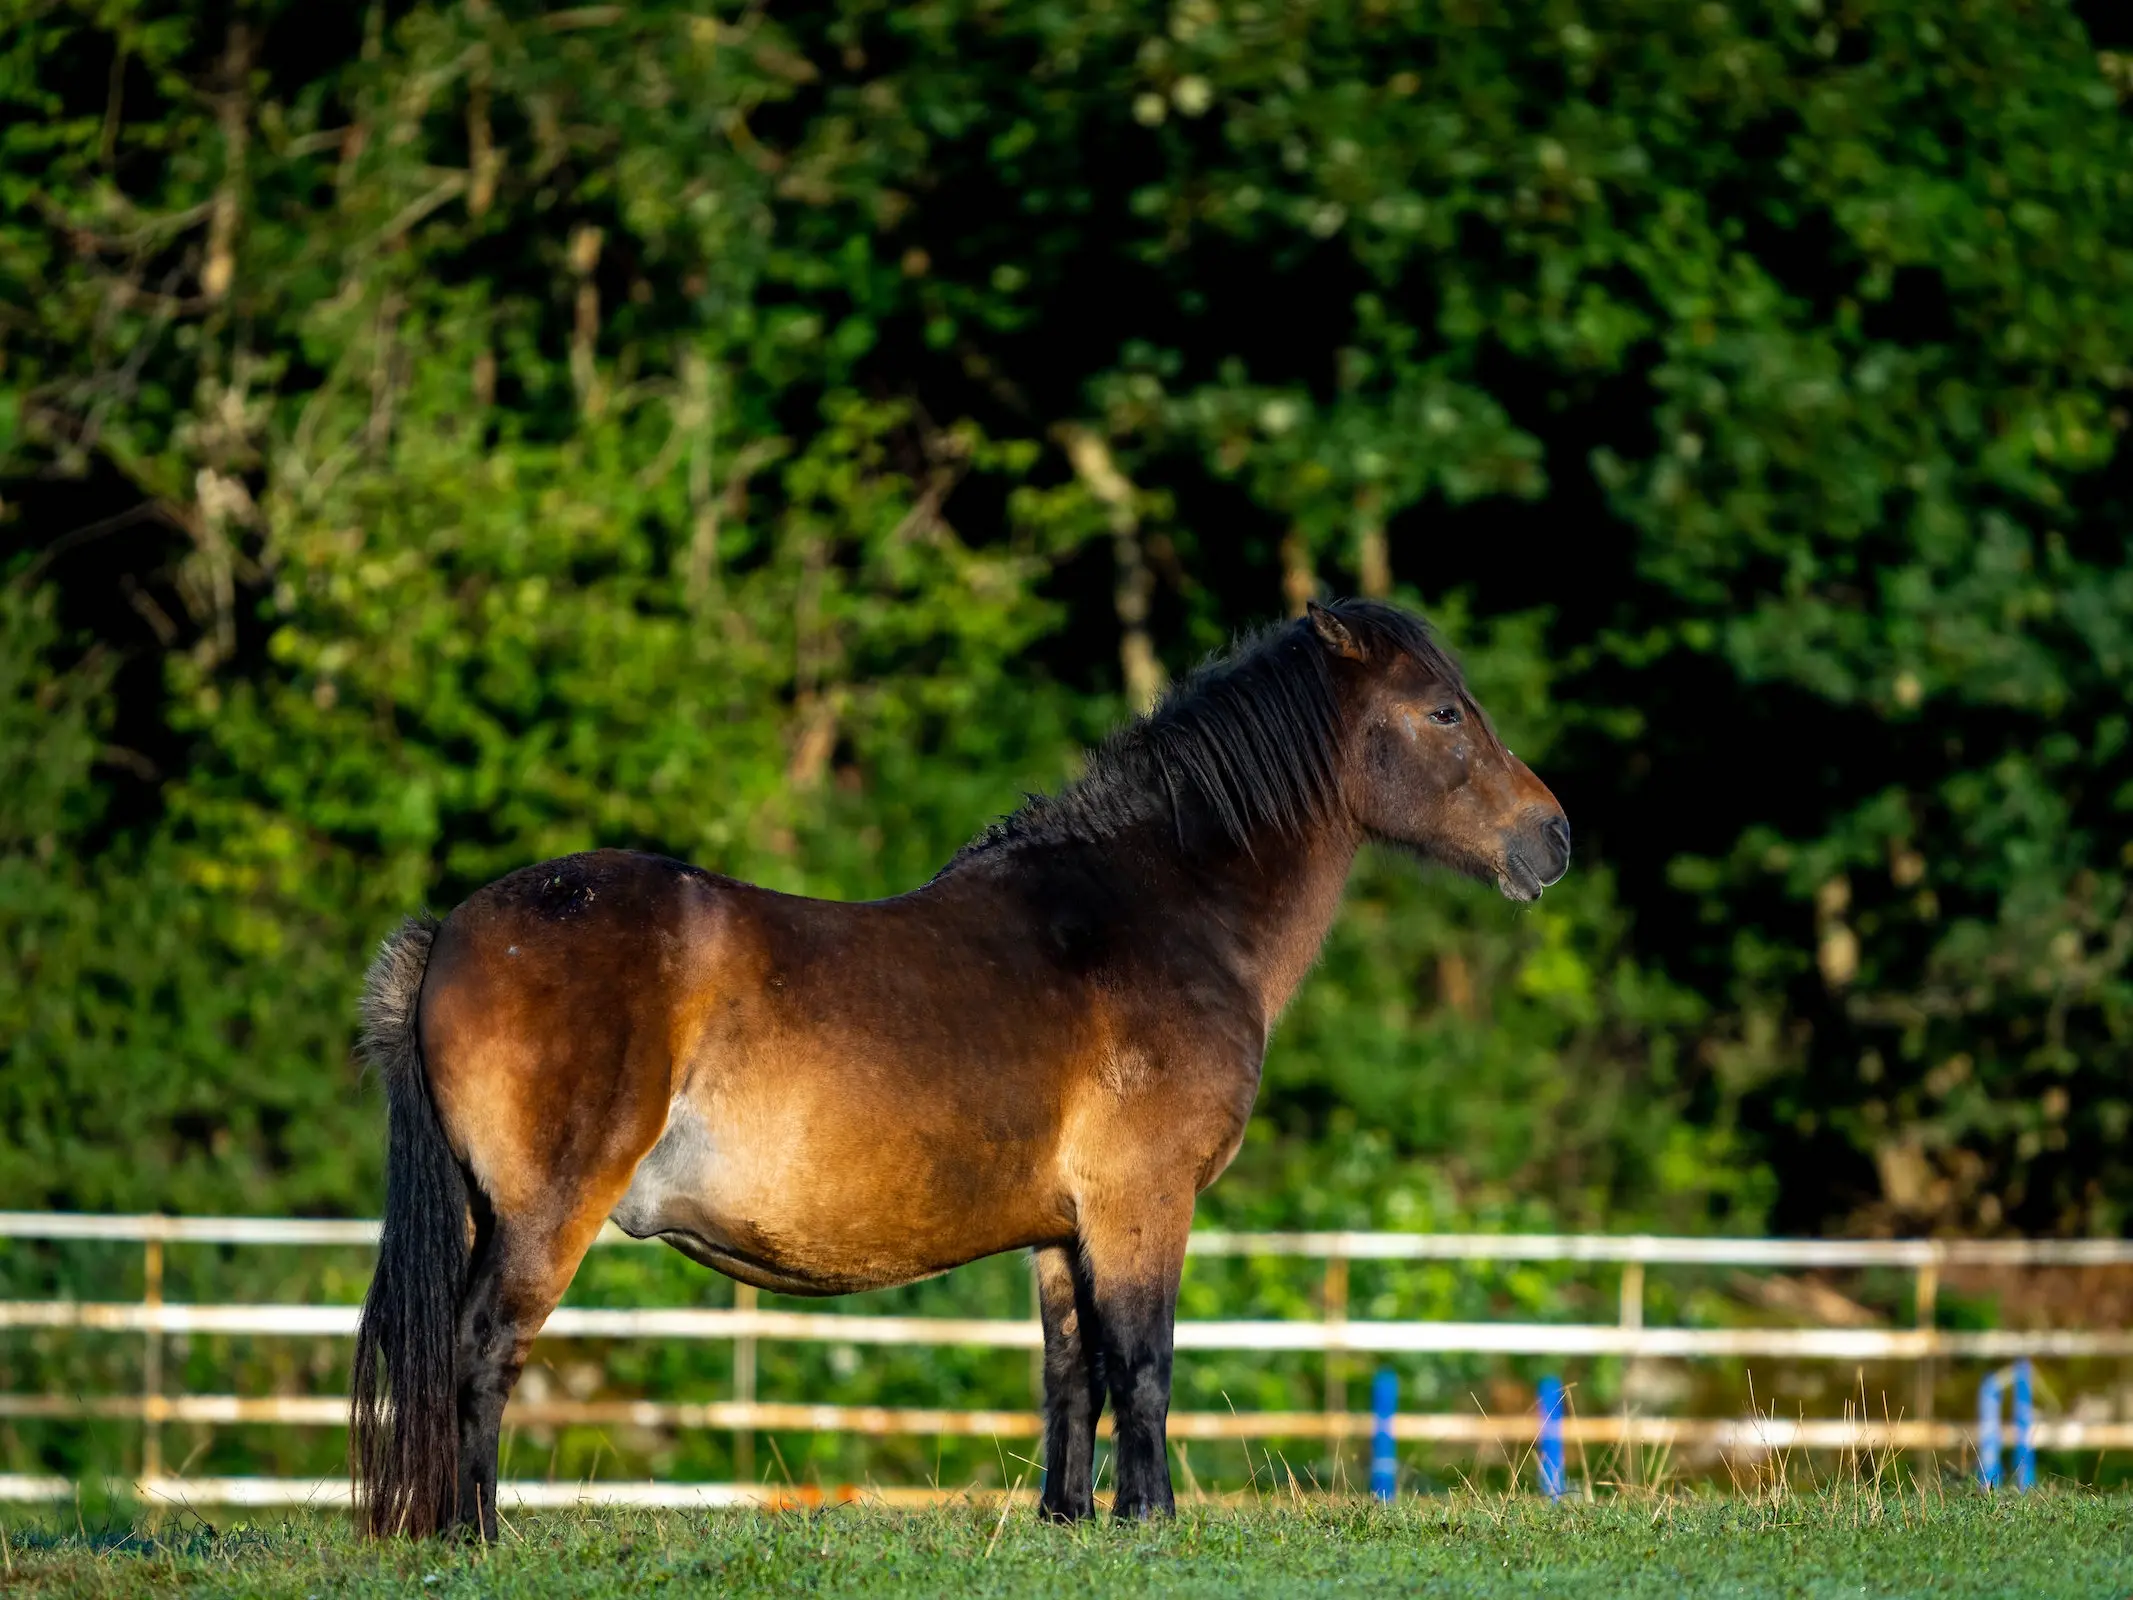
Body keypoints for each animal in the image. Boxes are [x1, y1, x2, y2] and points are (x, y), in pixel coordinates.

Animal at [349, 601, 1569, 1544]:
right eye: (1444, 711)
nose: (1552, 838)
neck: (1160, 912)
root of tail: (454, 932)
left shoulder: (1063, 1230)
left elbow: (1072, 1373)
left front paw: (1071, 1518)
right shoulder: (1142, 1204)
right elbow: (1145, 1362)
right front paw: (1151, 1517)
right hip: (543, 1215)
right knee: (481, 1349)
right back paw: (477, 1534)